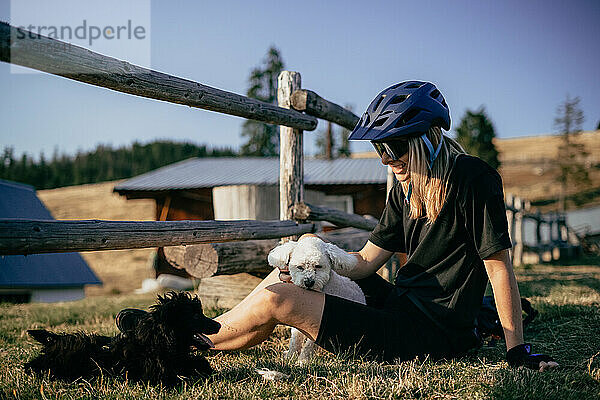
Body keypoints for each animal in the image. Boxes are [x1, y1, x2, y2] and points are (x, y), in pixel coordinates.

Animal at [24, 290, 220, 388]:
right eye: (195, 316)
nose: (218, 325)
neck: (158, 341)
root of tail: (54, 343)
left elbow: (200, 363)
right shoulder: (159, 377)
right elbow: (184, 375)